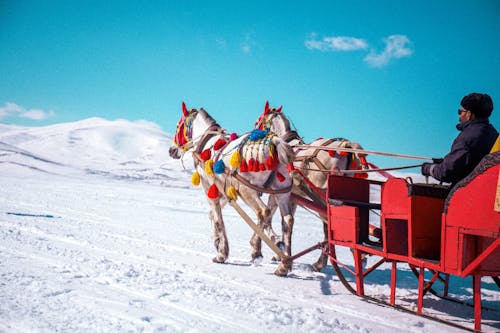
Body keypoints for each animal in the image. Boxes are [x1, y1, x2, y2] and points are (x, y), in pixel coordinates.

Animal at [169, 102, 292, 274]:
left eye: (177, 126)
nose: (171, 150)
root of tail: (275, 141)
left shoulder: (209, 188)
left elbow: (218, 217)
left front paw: (222, 253)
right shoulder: (224, 191)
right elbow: (212, 214)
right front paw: (216, 240)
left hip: (247, 190)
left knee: (264, 212)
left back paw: (256, 250)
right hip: (281, 192)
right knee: (286, 220)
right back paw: (284, 264)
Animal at [254, 100, 368, 270]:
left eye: (257, 122)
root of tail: (345, 146)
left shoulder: (276, 194)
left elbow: (270, 218)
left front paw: (262, 249)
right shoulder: (292, 197)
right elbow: (286, 222)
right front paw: (281, 254)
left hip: (322, 197)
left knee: (328, 225)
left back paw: (321, 263)